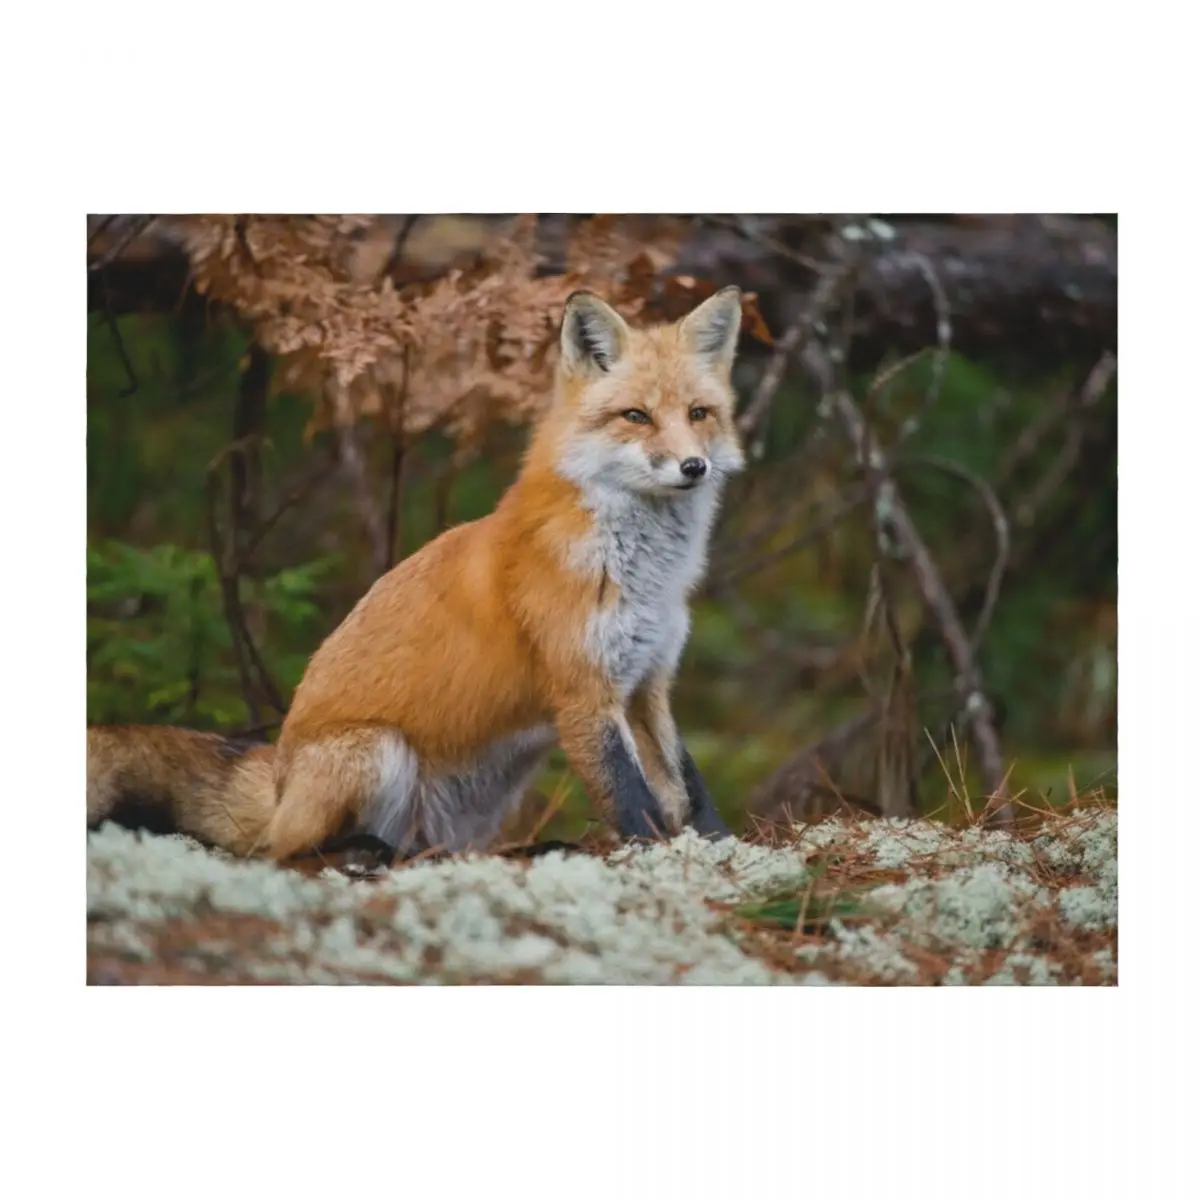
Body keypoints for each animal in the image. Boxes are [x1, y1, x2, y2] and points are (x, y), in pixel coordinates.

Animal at [88, 285, 747, 867]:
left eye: (698, 414)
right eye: (636, 416)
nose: (694, 466)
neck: (643, 574)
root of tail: (277, 782)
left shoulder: (647, 682)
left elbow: (687, 785)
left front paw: (723, 847)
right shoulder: (584, 691)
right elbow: (629, 798)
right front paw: (660, 856)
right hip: (379, 752)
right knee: (282, 851)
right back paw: (360, 851)